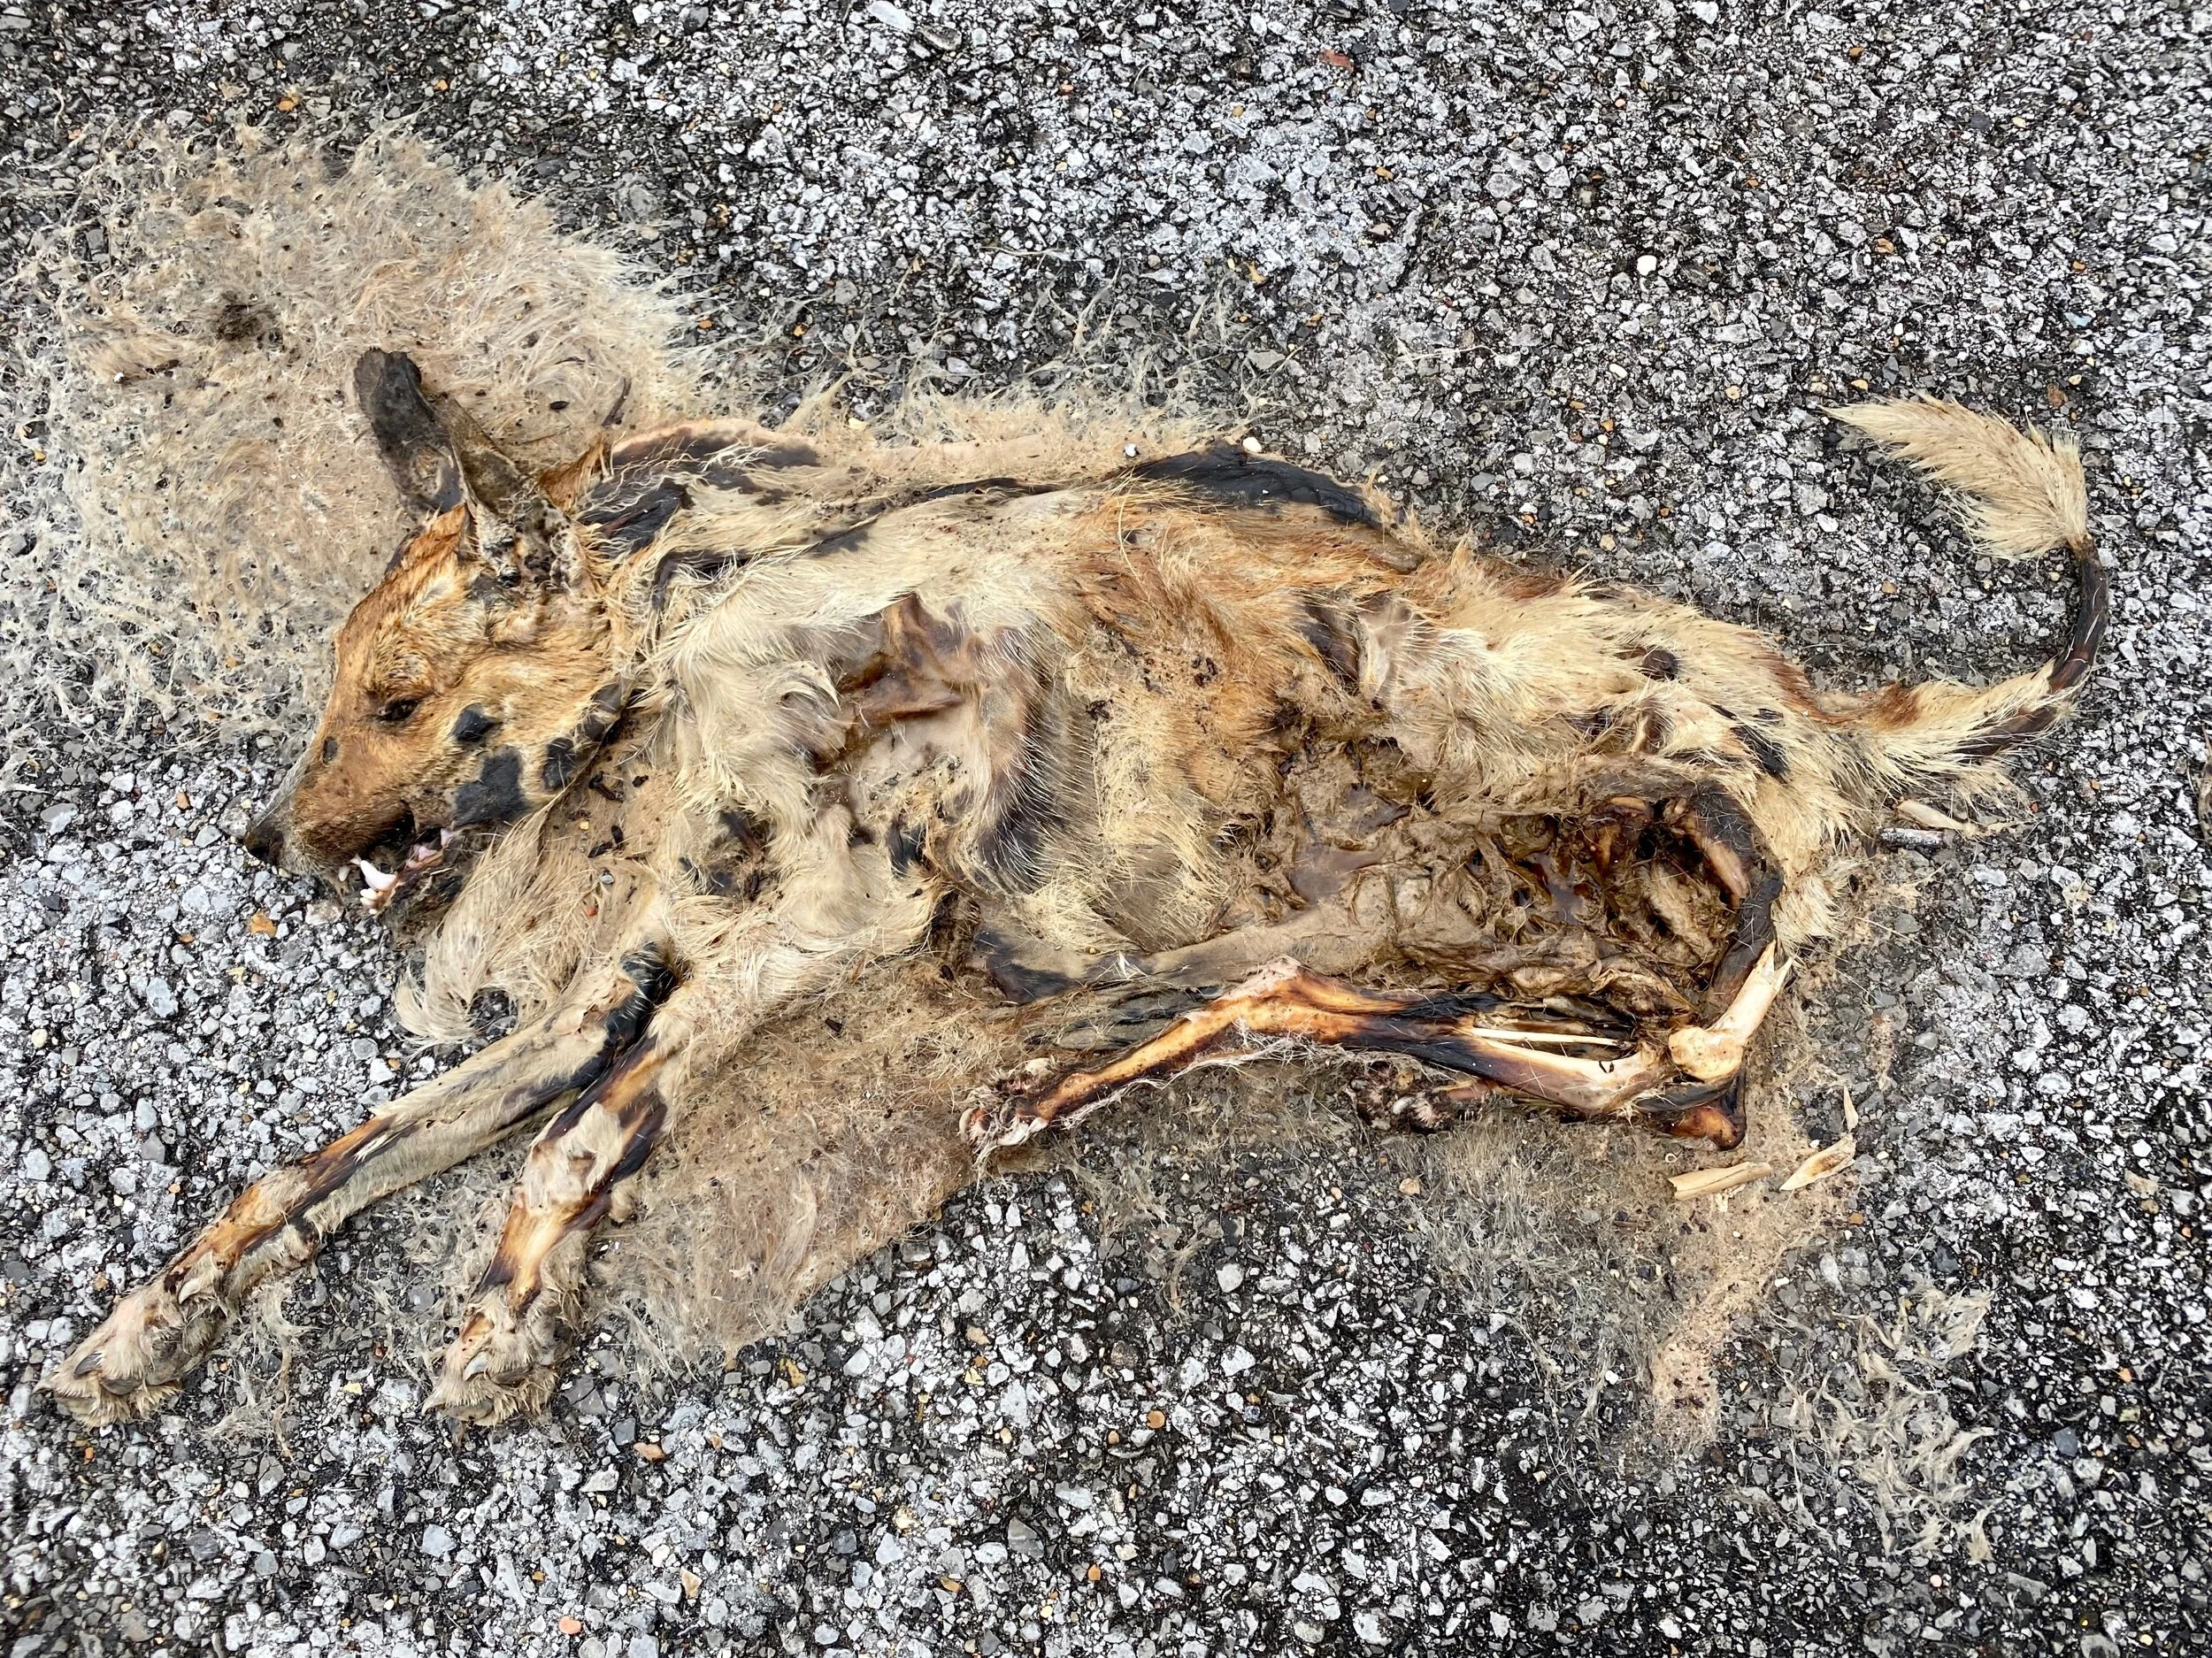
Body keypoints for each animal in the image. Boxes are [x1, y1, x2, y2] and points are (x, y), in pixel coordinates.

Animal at [45, 351, 2104, 1426]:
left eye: (395, 699)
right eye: (337, 689)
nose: (261, 845)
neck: (719, 606)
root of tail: (1833, 728)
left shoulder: (821, 923)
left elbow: (574, 1140)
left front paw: (504, 1326)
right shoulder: (638, 963)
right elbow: (325, 1160)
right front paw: (149, 1323)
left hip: (1564, 797)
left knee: (1659, 1051)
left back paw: (1085, 1060)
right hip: (1496, 897)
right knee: (1613, 1059)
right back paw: (1283, 1062)